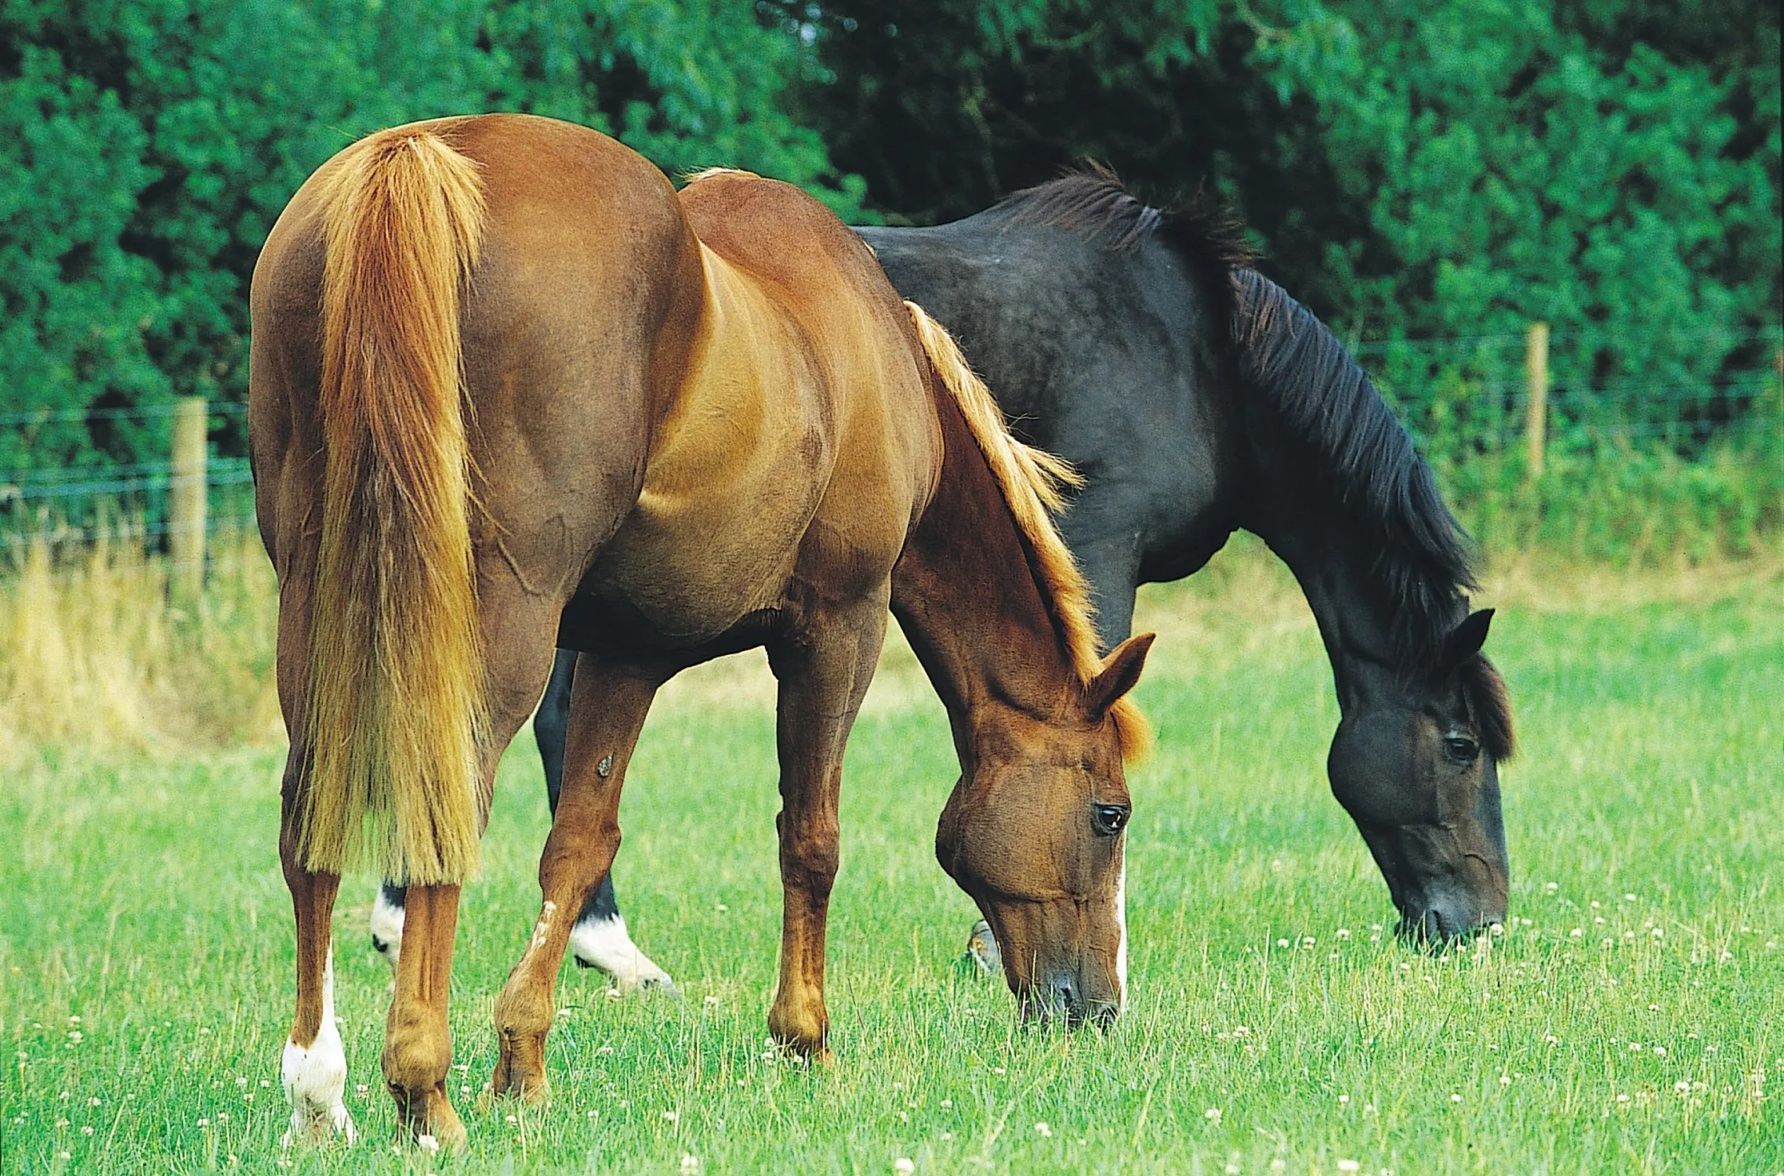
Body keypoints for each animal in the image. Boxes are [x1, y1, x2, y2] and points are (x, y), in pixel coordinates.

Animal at [250, 115, 1152, 1149]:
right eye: (1110, 814)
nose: (1098, 1010)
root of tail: (421, 157)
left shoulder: (626, 652)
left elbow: (579, 843)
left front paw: (523, 1062)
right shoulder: (838, 630)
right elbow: (811, 838)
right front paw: (805, 1039)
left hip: (315, 607)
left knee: (308, 831)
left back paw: (317, 1093)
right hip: (494, 631)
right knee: (442, 816)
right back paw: (420, 1091)